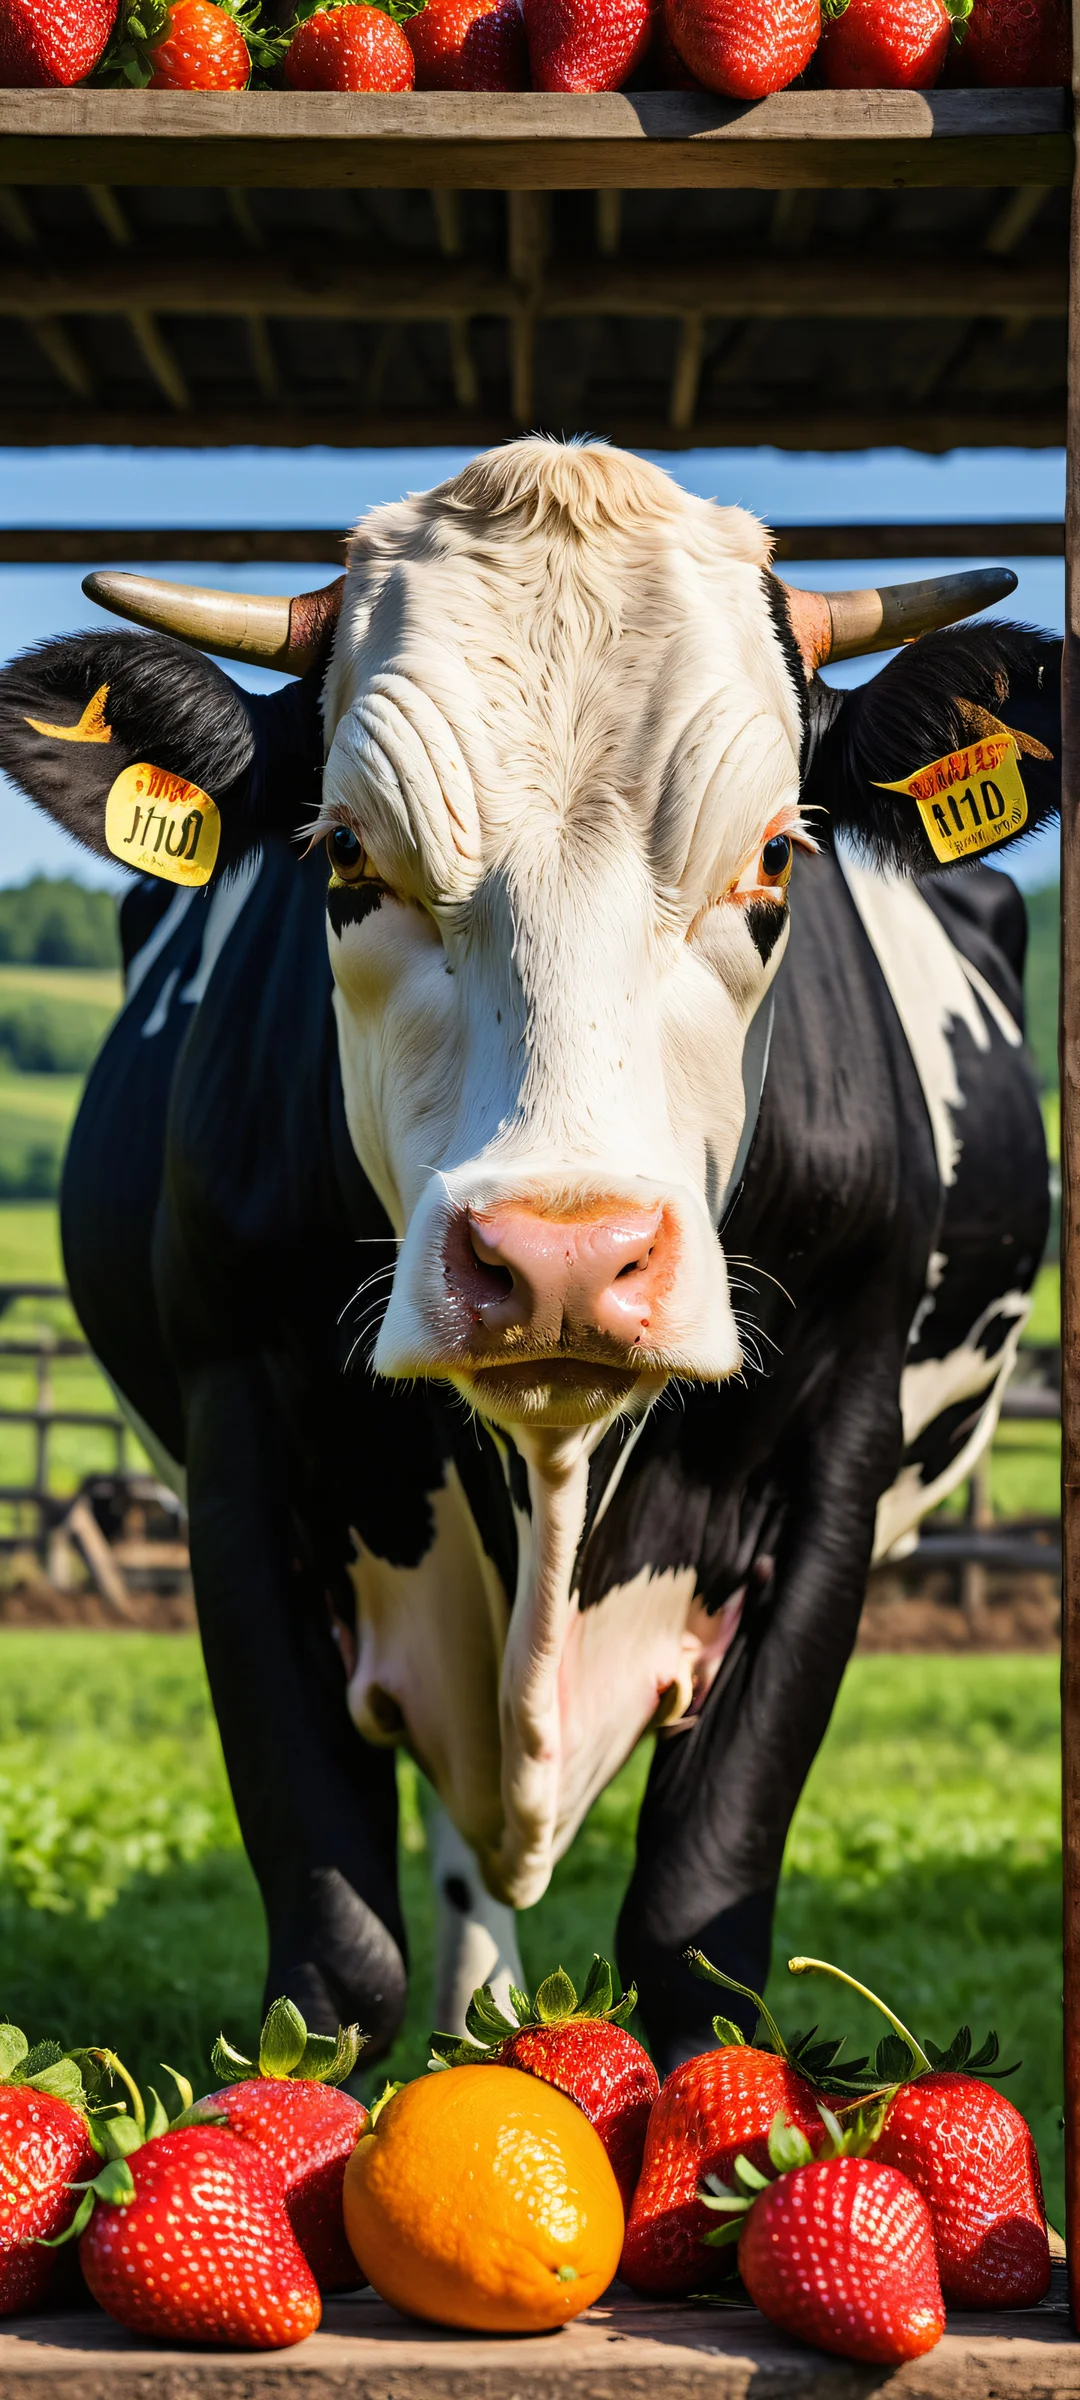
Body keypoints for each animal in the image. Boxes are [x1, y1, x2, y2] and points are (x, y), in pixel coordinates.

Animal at [0, 440, 1057, 2073]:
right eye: (344, 853)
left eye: (775, 857)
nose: (564, 1258)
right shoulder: (236, 1462)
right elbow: (337, 1959)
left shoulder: (837, 1466)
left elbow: (698, 1927)